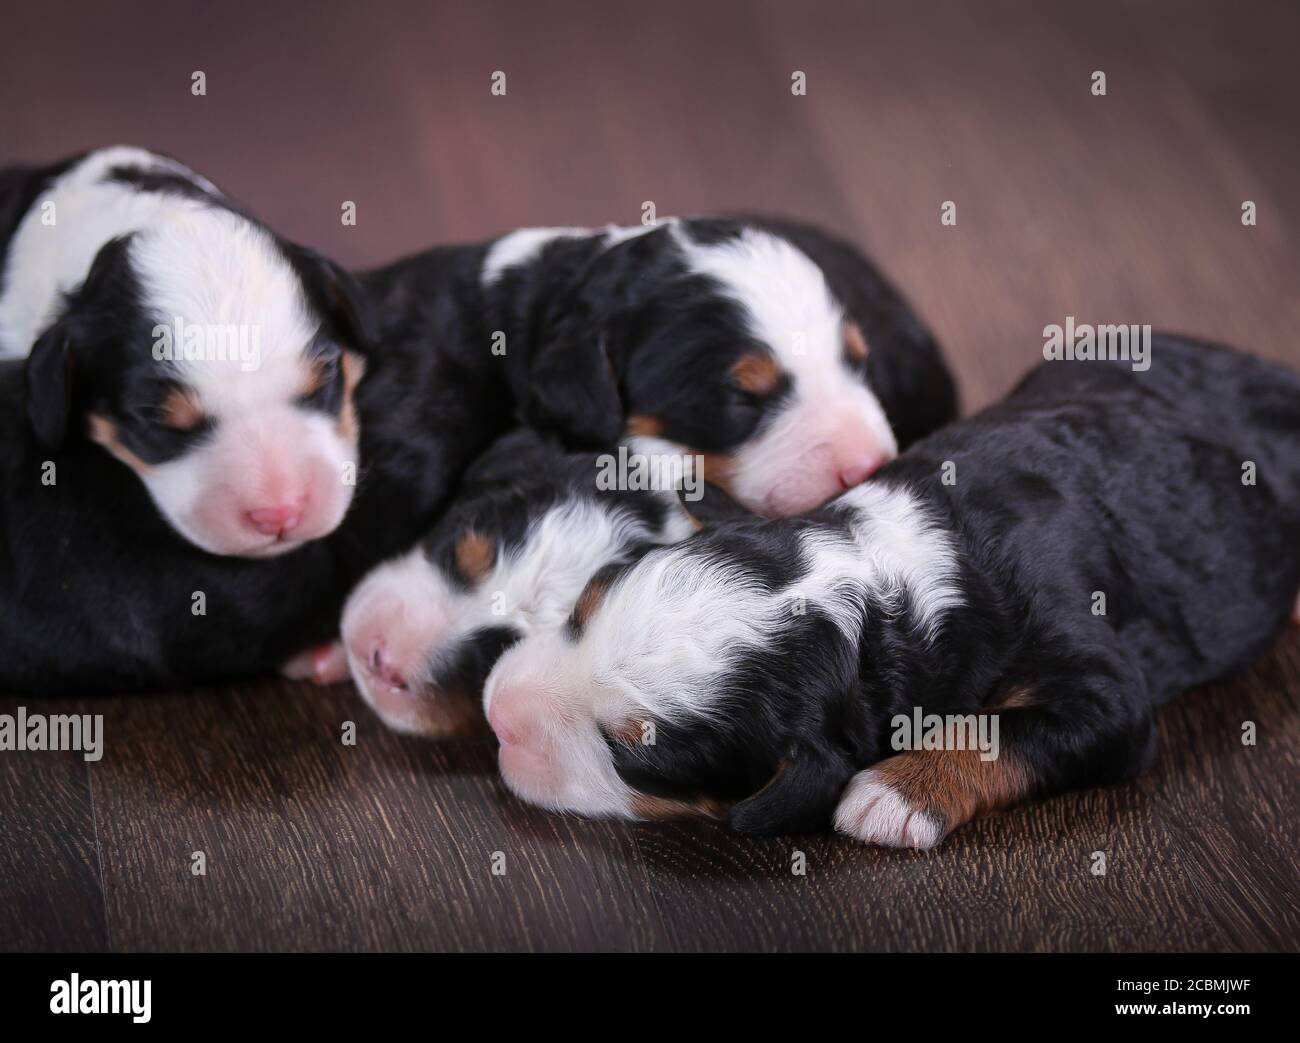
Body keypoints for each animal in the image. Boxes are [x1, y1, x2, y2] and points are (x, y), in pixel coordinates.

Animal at [483, 332, 1300, 842]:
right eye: (583, 606)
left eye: (635, 754)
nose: (497, 715)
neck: (889, 571)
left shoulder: (1098, 680)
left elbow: (1005, 726)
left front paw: (895, 792)